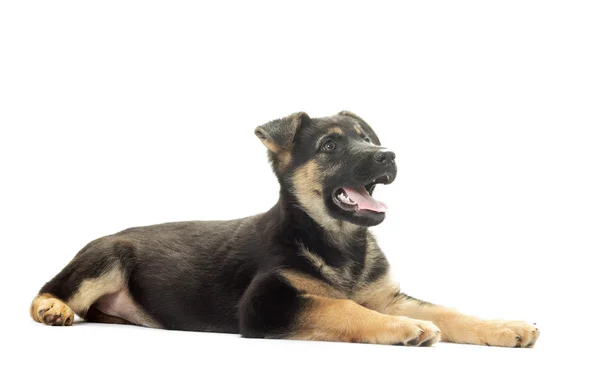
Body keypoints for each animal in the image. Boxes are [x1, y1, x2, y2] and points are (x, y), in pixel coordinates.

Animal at [29, 111, 540, 346]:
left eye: (367, 139)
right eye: (330, 146)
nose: (388, 155)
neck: (339, 243)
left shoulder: (387, 293)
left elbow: (450, 311)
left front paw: (504, 327)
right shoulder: (267, 305)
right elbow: (345, 309)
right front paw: (404, 328)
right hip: (108, 255)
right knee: (48, 289)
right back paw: (53, 309)